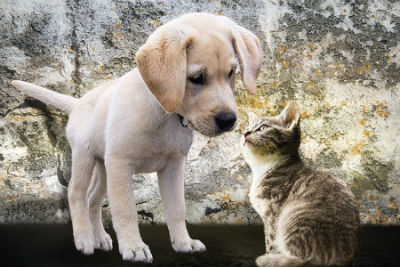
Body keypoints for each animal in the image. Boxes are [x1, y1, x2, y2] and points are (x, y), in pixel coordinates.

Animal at [10, 13, 262, 264]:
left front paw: (183, 242)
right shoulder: (120, 164)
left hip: (103, 167)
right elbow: (125, 210)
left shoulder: (173, 166)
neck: (164, 114)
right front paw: (133, 247)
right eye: (197, 78)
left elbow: (177, 208)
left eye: (231, 73)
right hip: (85, 157)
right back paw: (84, 238)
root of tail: (79, 101)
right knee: (76, 194)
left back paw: (100, 237)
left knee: (93, 199)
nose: (228, 120)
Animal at [241, 101, 360, 266]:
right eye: (247, 127)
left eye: (263, 127)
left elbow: (271, 239)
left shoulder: (273, 212)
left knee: (302, 260)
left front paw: (270, 255)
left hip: (293, 217)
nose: (245, 133)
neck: (263, 167)